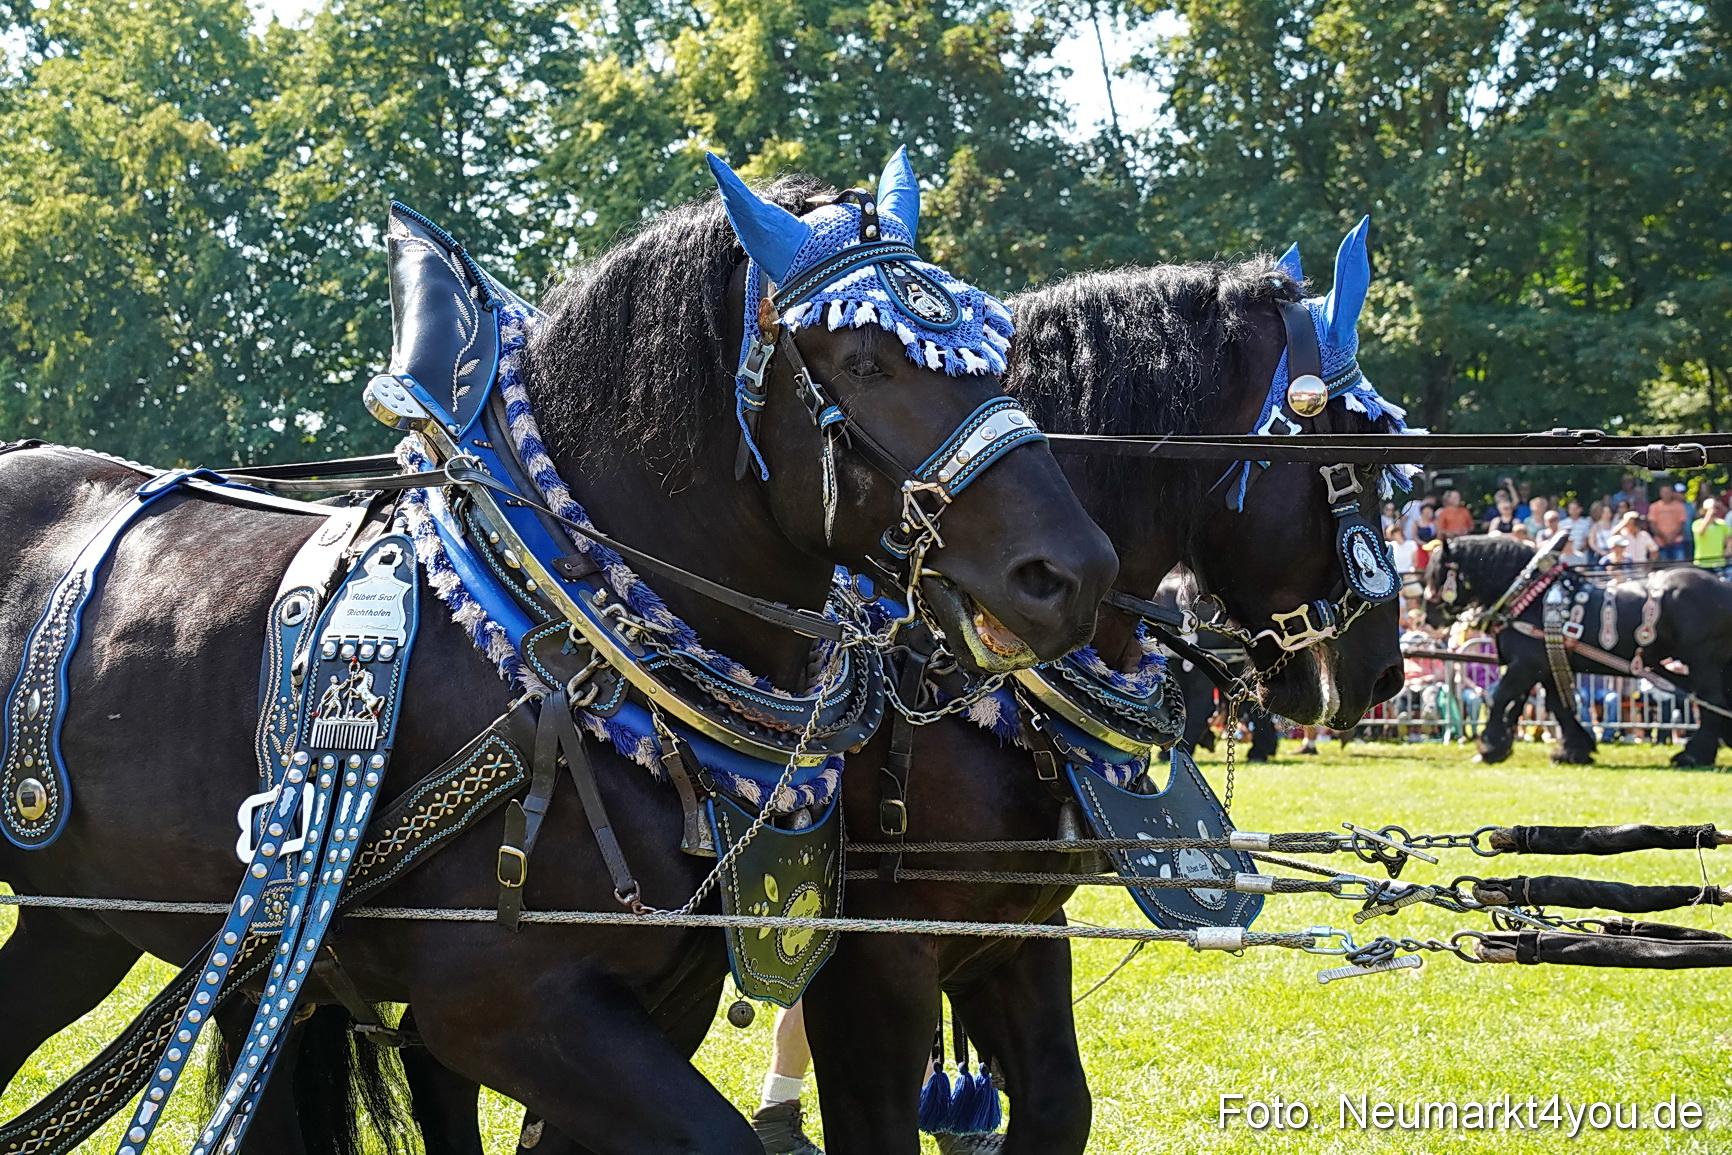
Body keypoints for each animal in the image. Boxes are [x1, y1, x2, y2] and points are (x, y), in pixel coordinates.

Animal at [0, 152, 1118, 1155]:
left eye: (996, 356)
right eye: (867, 362)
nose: (1070, 572)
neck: (559, 650)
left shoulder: (665, 996)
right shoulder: (505, 1004)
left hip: (86, 924)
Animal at [1423, 533, 1732, 767]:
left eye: (1441, 573)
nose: (1429, 616)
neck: (1530, 596)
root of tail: (1723, 587)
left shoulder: (1525, 665)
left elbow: (1500, 698)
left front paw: (1489, 747)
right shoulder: (1546, 665)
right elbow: (1555, 706)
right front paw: (1572, 750)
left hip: (1701, 661)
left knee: (1712, 701)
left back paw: (1693, 755)